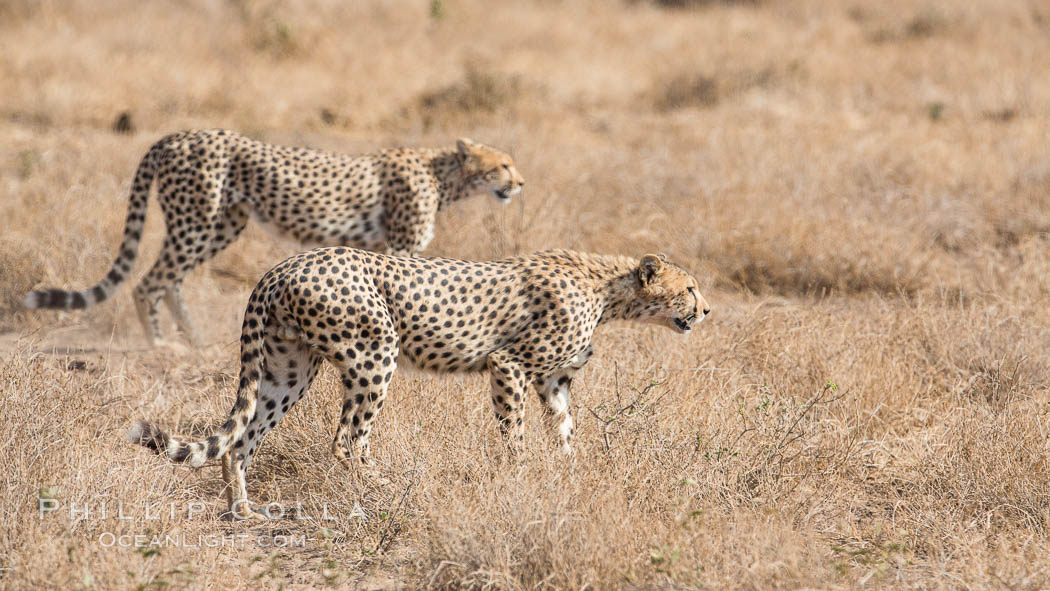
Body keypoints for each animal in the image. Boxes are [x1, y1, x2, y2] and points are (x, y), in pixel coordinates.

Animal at [20, 129, 520, 346]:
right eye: (502, 165)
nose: (519, 184)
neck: (444, 174)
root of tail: (179, 134)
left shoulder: (374, 252)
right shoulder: (400, 249)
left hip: (220, 226)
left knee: (172, 279)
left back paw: (195, 339)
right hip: (196, 220)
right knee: (150, 281)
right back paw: (161, 345)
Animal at [127, 247, 709, 520]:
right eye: (690, 288)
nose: (706, 310)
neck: (608, 290)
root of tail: (283, 265)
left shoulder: (554, 382)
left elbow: (565, 435)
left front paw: (569, 477)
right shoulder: (509, 365)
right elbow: (515, 436)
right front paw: (520, 479)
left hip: (287, 370)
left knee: (241, 439)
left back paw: (243, 510)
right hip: (374, 353)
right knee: (347, 440)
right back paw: (387, 491)